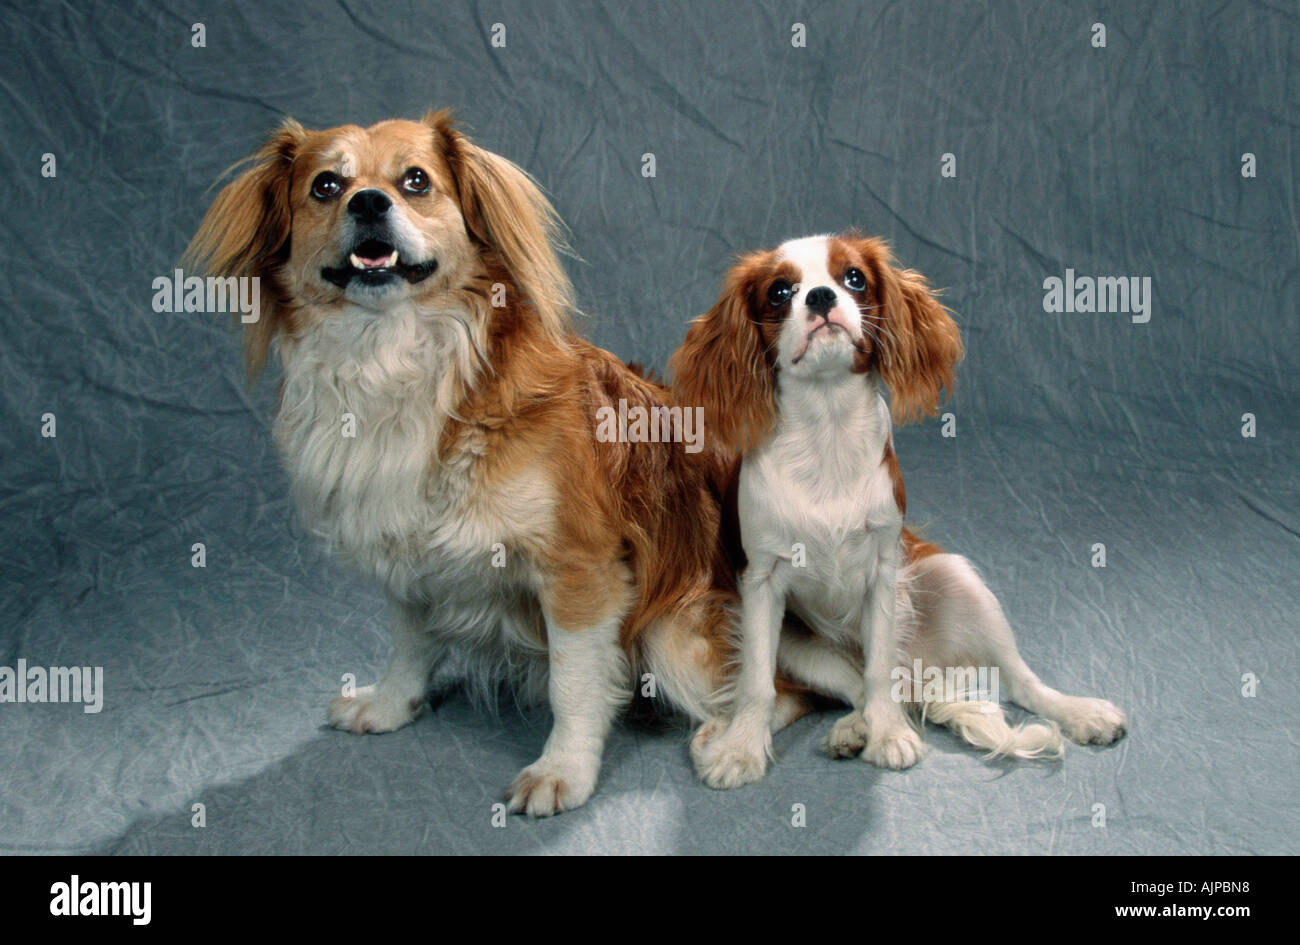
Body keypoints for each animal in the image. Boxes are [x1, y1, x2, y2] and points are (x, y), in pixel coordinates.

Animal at [185, 114, 1128, 816]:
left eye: (416, 181)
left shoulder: (581, 571)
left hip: (710, 627)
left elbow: (575, 682)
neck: (397, 361)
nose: (371, 204)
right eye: (326, 186)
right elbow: (411, 641)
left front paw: (562, 770)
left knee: (808, 688)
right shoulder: (407, 554)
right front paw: (389, 706)